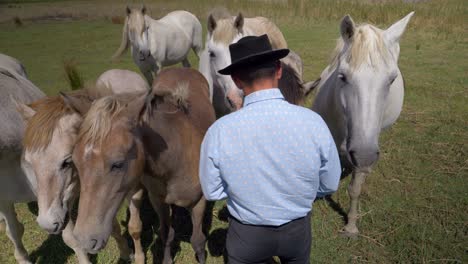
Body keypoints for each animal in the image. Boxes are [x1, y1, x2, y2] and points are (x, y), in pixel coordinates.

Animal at [16, 69, 148, 262]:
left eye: (66, 162)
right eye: (29, 163)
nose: (47, 223)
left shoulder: (134, 188)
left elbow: (135, 226)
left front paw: (137, 257)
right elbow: (101, 231)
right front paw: (124, 252)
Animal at [69, 68, 214, 264]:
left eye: (118, 164)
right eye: (75, 162)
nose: (84, 240)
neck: (177, 159)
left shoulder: (199, 203)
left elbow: (198, 240)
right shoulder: (158, 201)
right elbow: (166, 233)